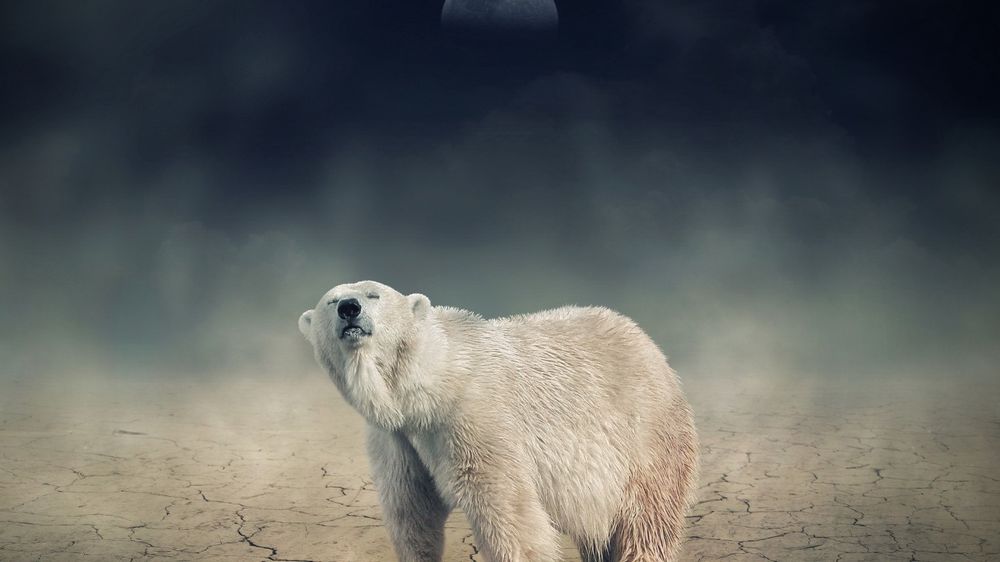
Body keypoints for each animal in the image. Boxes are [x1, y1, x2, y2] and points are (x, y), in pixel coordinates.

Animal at [298, 280, 698, 562]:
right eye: (331, 300)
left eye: (373, 294)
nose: (349, 309)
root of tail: (649, 345)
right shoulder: (397, 437)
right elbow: (412, 511)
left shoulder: (476, 419)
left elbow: (510, 514)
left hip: (644, 436)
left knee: (646, 520)